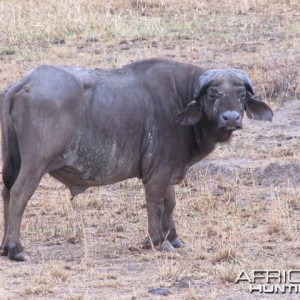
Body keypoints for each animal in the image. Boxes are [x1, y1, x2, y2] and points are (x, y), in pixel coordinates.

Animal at [0, 58, 274, 260]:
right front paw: (156, 241)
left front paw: (173, 238)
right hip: (36, 162)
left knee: (6, 192)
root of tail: (25, 82)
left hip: (13, 162)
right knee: (19, 194)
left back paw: (4, 246)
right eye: (213, 94)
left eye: (241, 95)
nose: (231, 118)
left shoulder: (169, 169)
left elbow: (170, 202)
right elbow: (156, 203)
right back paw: (16, 249)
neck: (179, 96)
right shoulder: (156, 173)